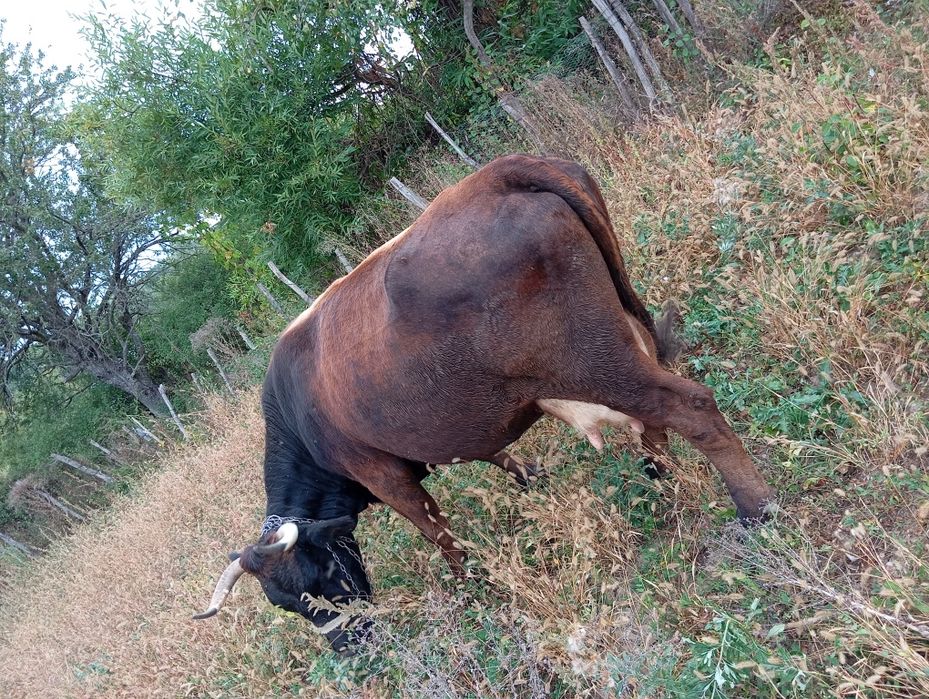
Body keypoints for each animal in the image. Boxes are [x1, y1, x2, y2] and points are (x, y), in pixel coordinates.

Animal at [194, 154, 774, 651]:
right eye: (285, 604)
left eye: (319, 578)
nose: (350, 646)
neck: (298, 415)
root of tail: (499, 173)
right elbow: (500, 457)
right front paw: (531, 478)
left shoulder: (382, 474)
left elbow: (436, 530)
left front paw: (469, 581)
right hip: (623, 339)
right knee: (651, 418)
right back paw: (660, 478)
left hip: (595, 364)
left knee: (689, 408)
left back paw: (754, 509)